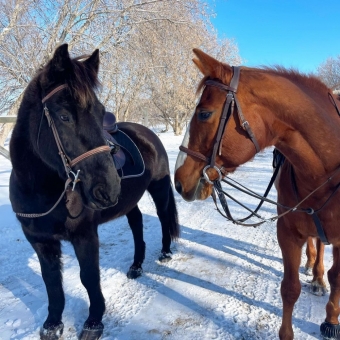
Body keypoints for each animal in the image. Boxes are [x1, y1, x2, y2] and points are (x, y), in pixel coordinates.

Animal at [7, 43, 179, 338]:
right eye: (64, 116)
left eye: (100, 113)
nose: (108, 187)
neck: (40, 192)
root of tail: (149, 133)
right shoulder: (39, 240)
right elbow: (51, 282)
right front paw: (52, 324)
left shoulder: (85, 235)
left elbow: (88, 277)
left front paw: (94, 321)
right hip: (130, 200)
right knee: (137, 224)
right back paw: (136, 265)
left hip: (158, 189)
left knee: (164, 217)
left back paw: (165, 253)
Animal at [175, 49, 340, 340]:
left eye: (204, 114)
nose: (178, 179)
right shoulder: (287, 232)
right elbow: (290, 289)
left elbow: (338, 278)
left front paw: (331, 319)